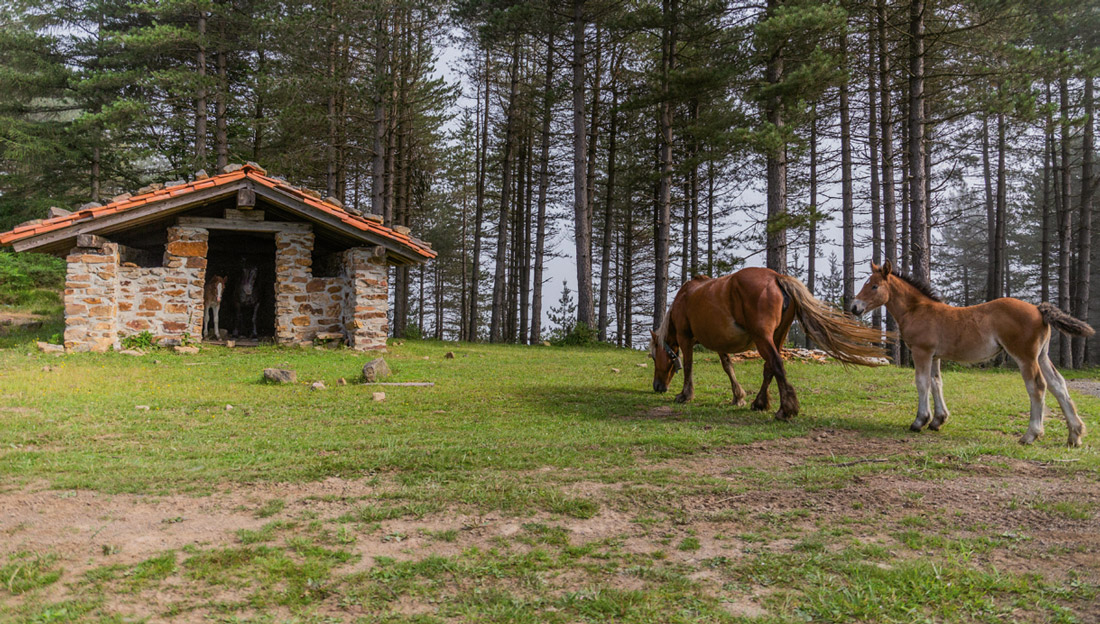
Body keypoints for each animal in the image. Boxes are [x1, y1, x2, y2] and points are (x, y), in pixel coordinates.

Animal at [646, 267, 888, 420]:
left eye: (653, 356)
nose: (657, 386)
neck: (685, 297)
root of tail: (776, 277)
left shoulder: (685, 338)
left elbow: (688, 367)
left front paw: (685, 395)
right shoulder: (721, 343)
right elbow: (728, 366)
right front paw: (738, 396)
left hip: (763, 338)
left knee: (776, 364)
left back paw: (786, 409)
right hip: (777, 337)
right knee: (770, 367)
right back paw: (760, 402)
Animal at [849, 260, 1091, 446]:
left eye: (874, 286)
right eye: (867, 284)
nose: (854, 307)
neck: (918, 310)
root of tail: (1039, 309)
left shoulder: (922, 351)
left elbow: (922, 383)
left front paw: (920, 421)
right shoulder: (935, 356)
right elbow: (936, 382)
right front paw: (938, 420)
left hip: (1025, 357)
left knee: (1038, 387)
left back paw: (1030, 435)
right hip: (1041, 355)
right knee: (1058, 385)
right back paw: (1075, 435)